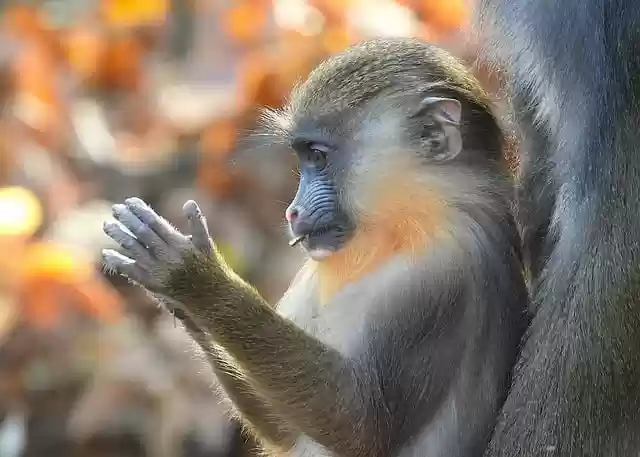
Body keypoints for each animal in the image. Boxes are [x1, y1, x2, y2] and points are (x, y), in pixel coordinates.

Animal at [100, 38, 529, 457]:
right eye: (303, 158)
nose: (293, 211)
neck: (407, 224)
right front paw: (180, 301)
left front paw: (193, 279)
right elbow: (285, 430)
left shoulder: (440, 276)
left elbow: (361, 424)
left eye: (318, 156)